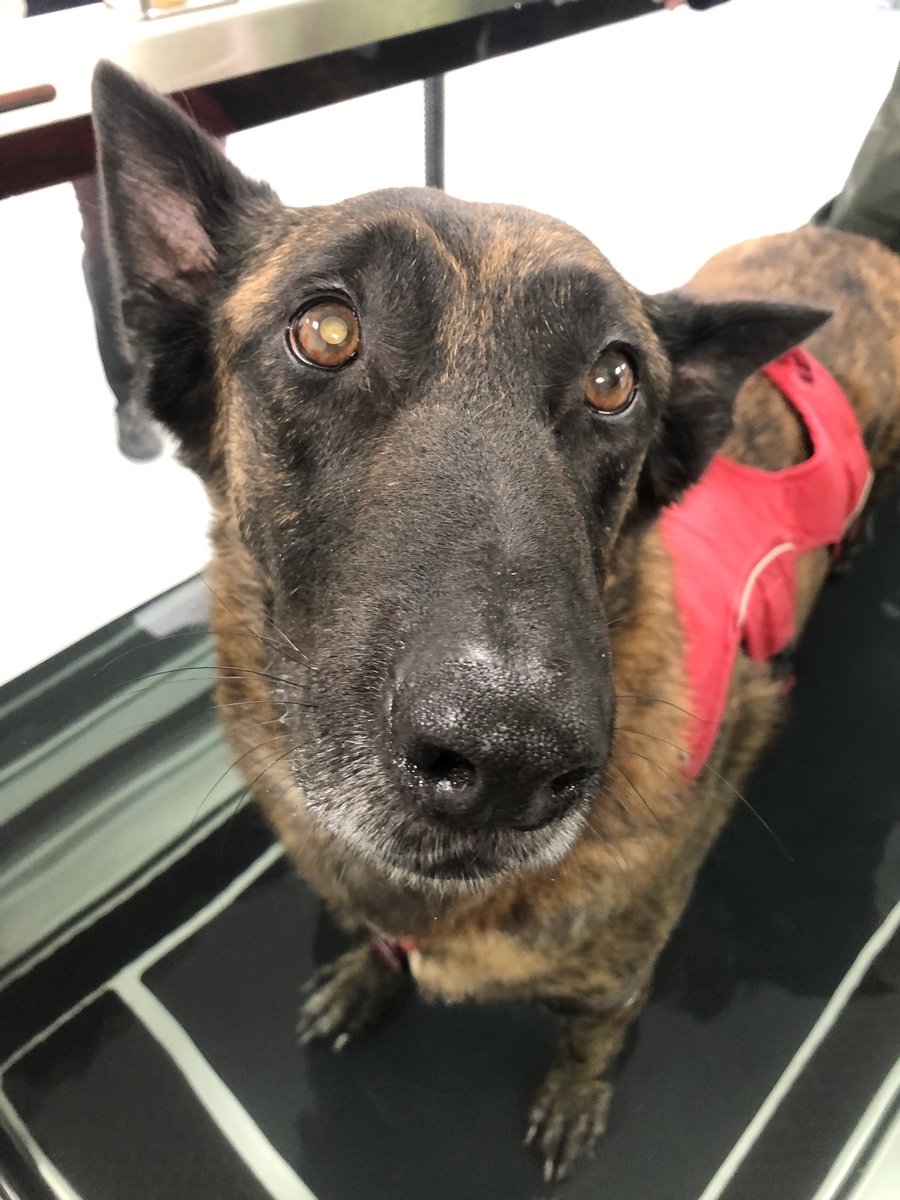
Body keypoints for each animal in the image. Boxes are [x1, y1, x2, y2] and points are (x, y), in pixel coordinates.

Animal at [91, 60, 900, 1176]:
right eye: (326, 331)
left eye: (614, 379)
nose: (510, 760)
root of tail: (856, 242)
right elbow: (370, 944)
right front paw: (364, 977)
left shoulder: (618, 978)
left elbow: (593, 1038)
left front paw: (573, 1100)